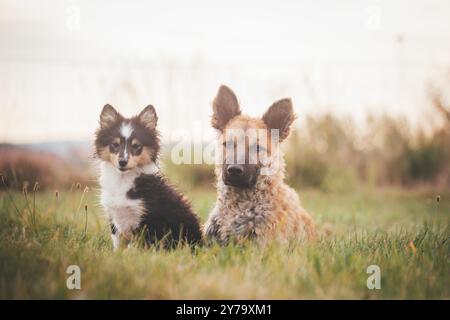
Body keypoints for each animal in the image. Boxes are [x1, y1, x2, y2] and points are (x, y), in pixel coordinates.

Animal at [95, 104, 202, 249]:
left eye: (136, 146)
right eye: (115, 145)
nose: (122, 162)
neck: (123, 180)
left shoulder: (148, 219)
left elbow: (137, 245)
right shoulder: (114, 217)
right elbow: (117, 244)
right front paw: (117, 253)